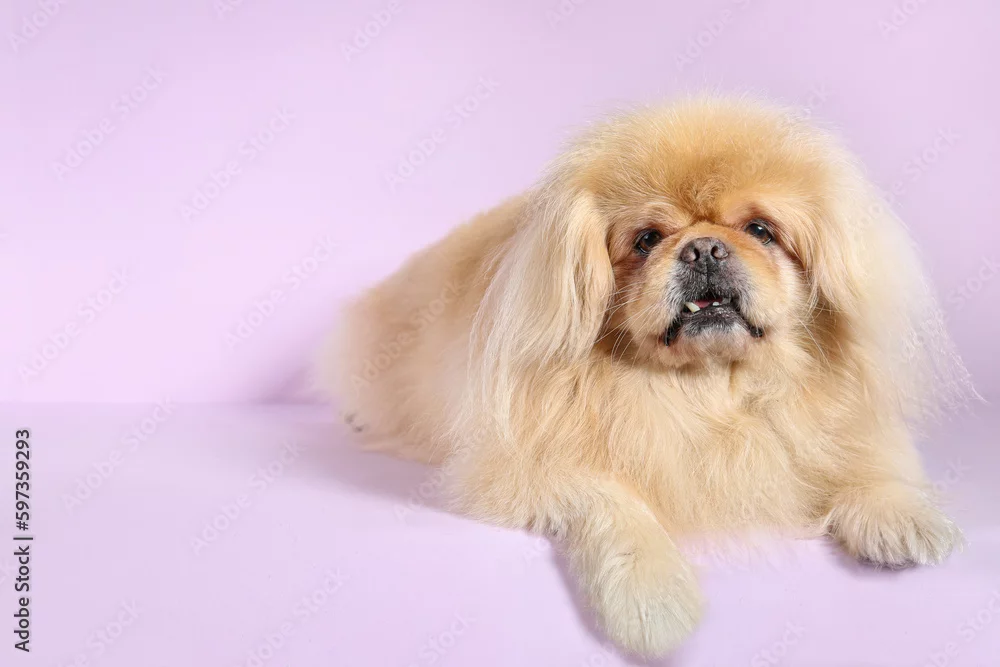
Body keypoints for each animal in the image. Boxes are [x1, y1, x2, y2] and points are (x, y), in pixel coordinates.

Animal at [320, 96, 974, 656]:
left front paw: (899, 515)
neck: (708, 392)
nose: (704, 248)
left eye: (761, 231)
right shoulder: (522, 467)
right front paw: (652, 596)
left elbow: (867, 460)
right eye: (647, 239)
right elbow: (616, 502)